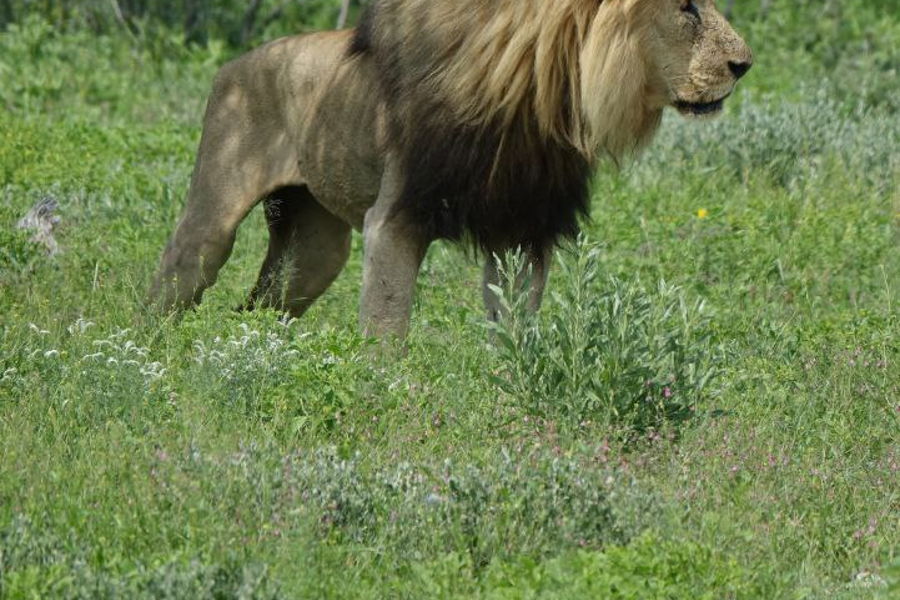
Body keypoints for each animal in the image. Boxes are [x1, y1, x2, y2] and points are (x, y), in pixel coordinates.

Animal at [149, 0, 752, 339]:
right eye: (687, 6)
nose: (744, 64)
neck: (534, 97)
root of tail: (236, 61)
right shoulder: (396, 218)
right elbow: (387, 326)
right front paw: (379, 396)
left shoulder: (525, 228)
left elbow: (513, 325)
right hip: (214, 215)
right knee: (175, 281)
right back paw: (151, 361)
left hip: (314, 249)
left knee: (259, 306)